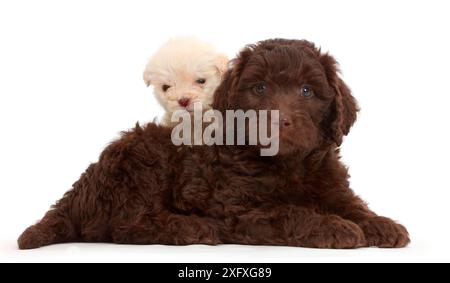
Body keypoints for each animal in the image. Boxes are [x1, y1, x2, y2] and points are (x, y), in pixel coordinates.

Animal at [19, 38, 410, 250]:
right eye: (259, 88)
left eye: (306, 91)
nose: (277, 120)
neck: (288, 165)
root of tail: (77, 193)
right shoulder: (239, 207)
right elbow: (292, 212)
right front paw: (337, 228)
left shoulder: (330, 182)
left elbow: (351, 204)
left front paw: (381, 224)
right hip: (143, 160)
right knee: (128, 225)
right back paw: (196, 228)